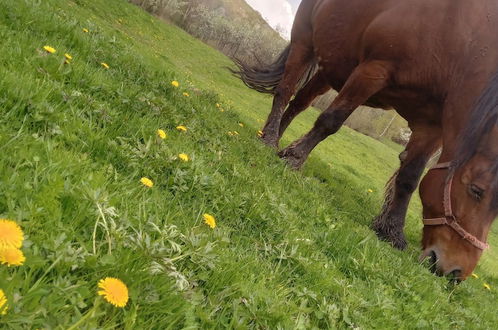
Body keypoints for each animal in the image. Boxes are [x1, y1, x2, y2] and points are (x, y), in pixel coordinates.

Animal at [235, 0, 498, 280]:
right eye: (476, 190)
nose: (455, 272)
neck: (458, 38)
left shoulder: (431, 125)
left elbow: (410, 176)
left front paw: (392, 230)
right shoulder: (373, 71)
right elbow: (331, 120)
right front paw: (295, 158)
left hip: (330, 69)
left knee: (299, 103)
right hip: (304, 43)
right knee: (285, 91)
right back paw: (270, 139)